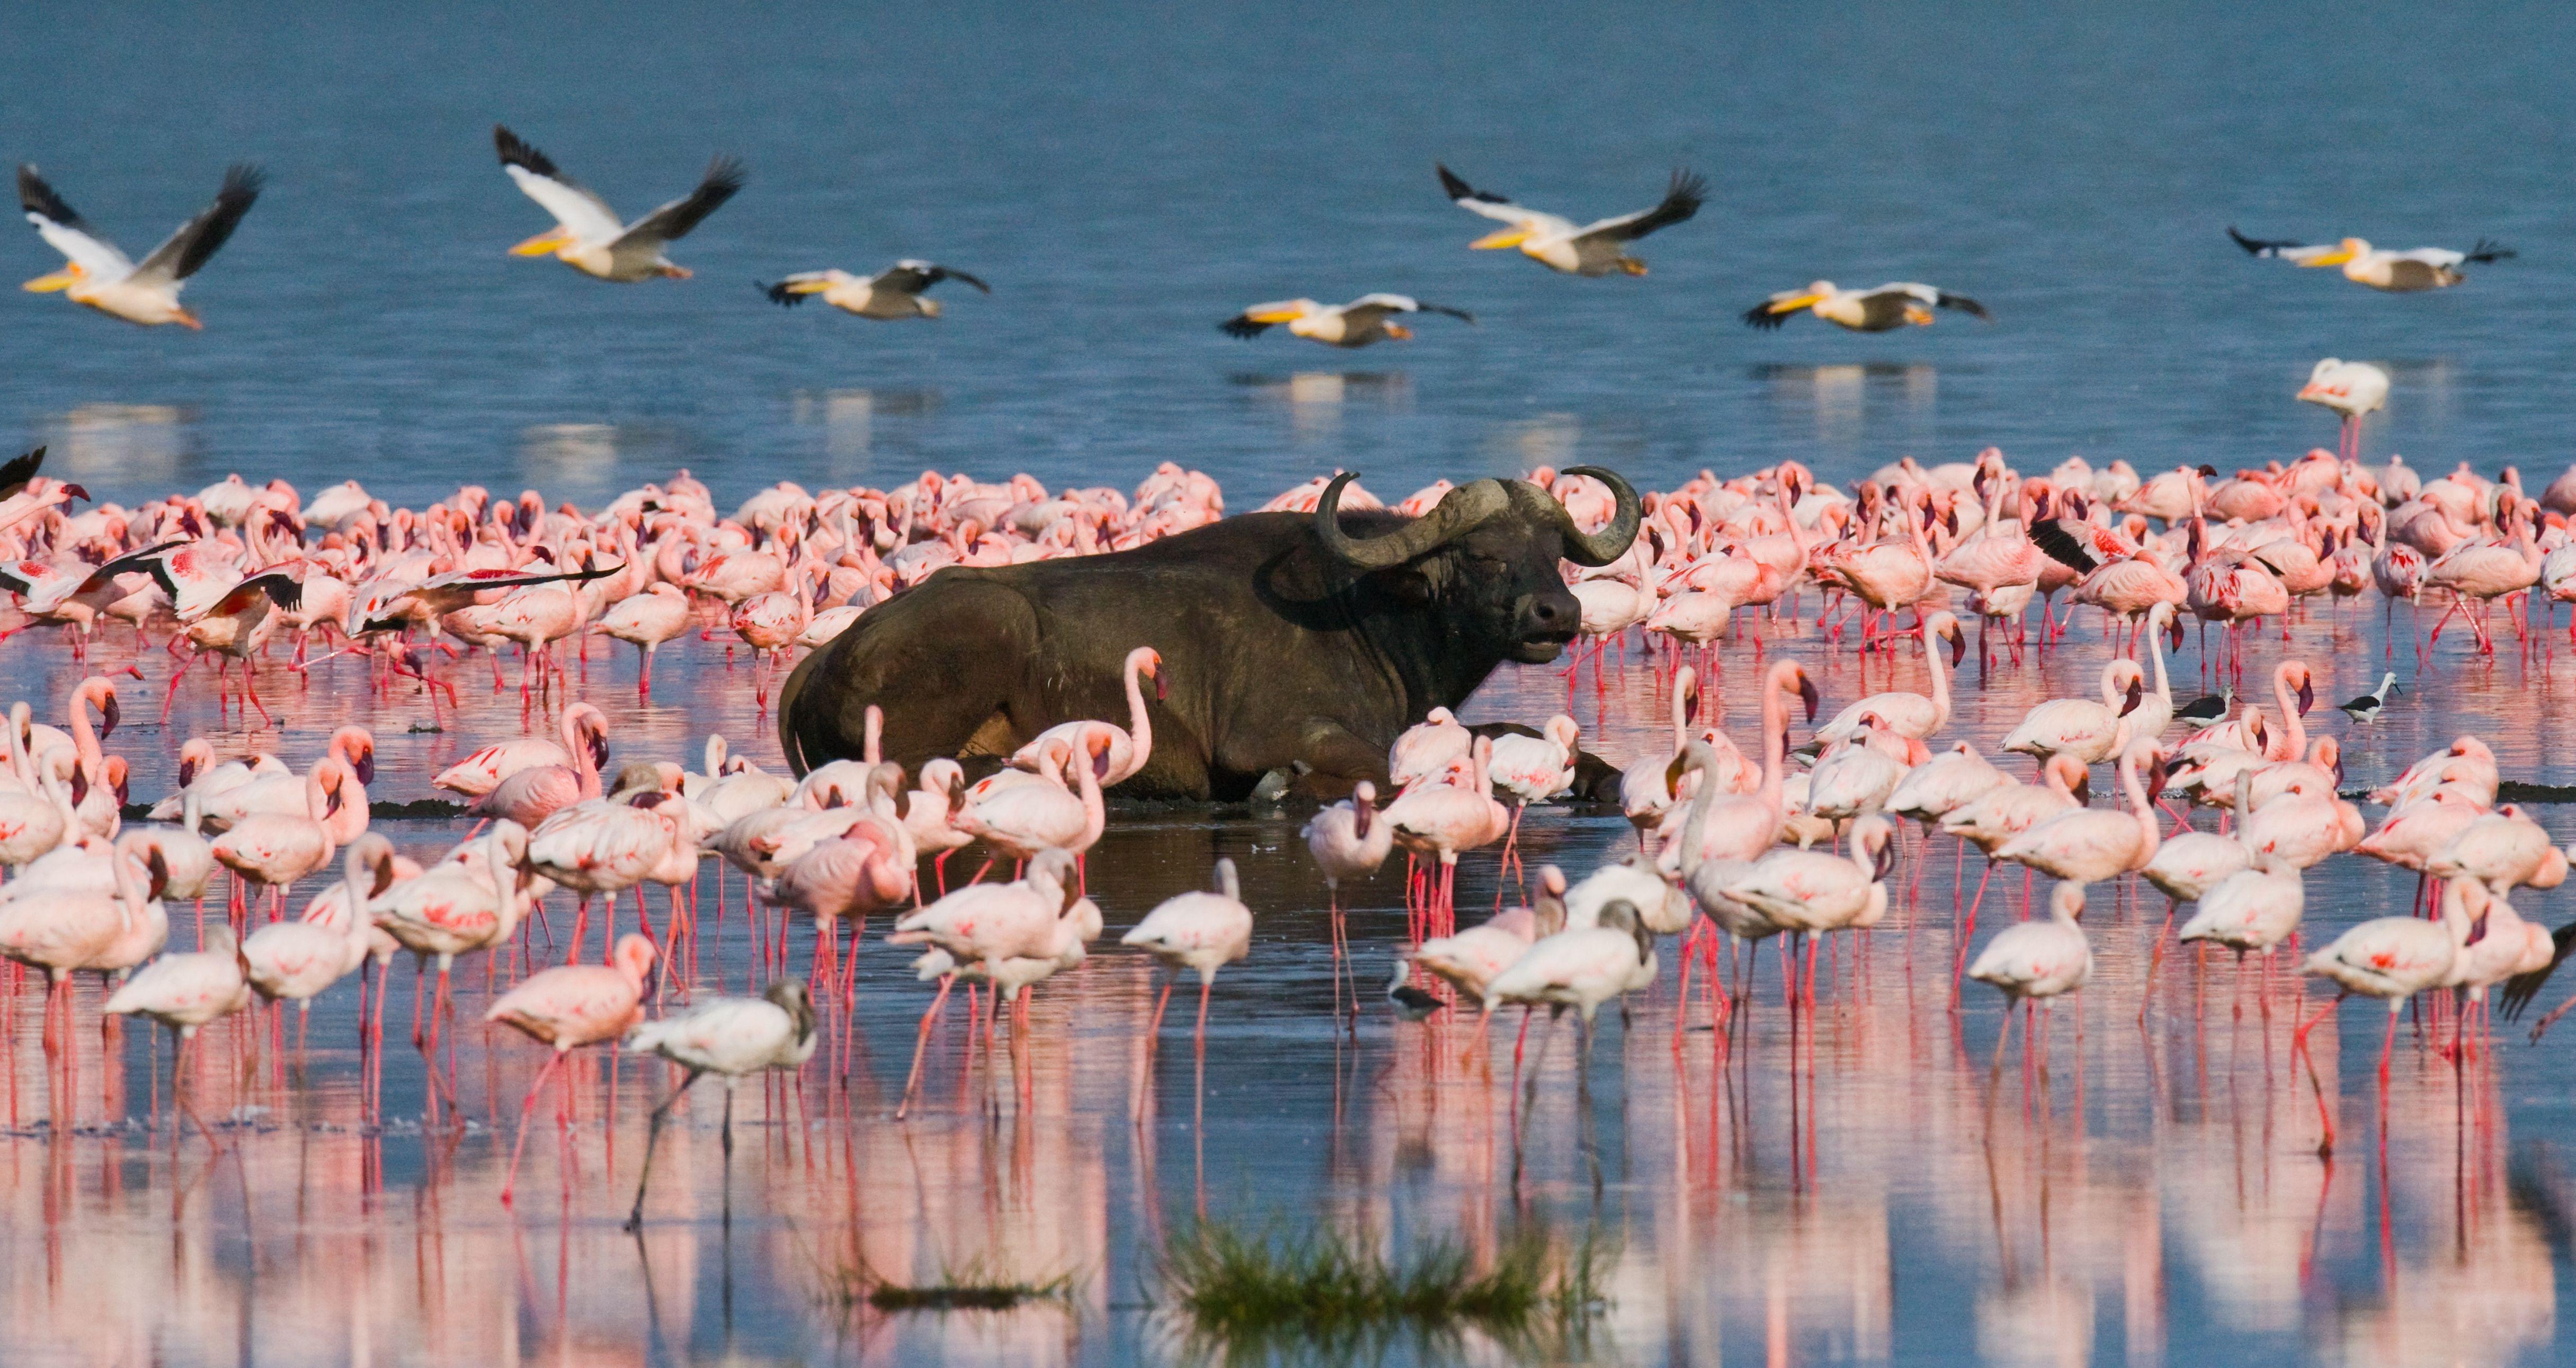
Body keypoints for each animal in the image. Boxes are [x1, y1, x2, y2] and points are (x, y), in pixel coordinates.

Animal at [772, 469, 1638, 803]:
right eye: (1483, 555)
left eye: (1552, 550)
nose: (1556, 616)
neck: (1369, 615)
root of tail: (827, 656)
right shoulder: (1270, 736)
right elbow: (1372, 768)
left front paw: (1596, 775)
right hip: (990, 625)